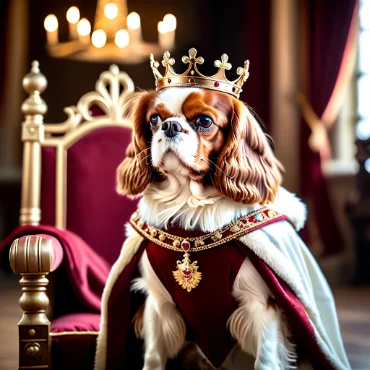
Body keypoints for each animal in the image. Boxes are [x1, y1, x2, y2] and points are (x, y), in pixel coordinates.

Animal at [117, 87, 304, 370]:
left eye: (204, 121)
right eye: (155, 120)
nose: (170, 126)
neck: (188, 206)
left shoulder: (262, 306)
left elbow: (265, 361)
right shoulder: (158, 304)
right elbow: (153, 358)